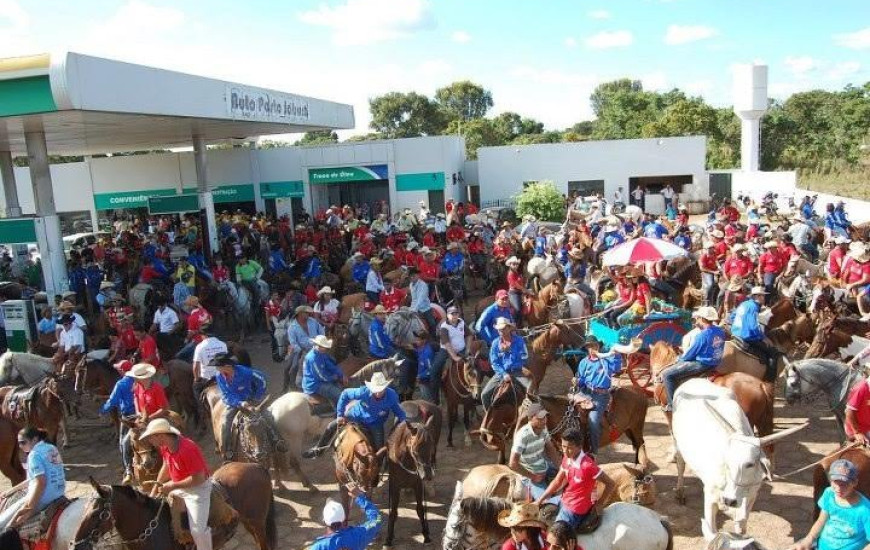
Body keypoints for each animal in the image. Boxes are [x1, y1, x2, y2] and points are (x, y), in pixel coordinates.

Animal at [386, 416, 440, 548]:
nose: (427, 475)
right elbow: (393, 512)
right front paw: (389, 539)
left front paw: (426, 536)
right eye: (415, 451)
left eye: (431, 448)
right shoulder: (395, 486)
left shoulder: (417, 485)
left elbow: (420, 509)